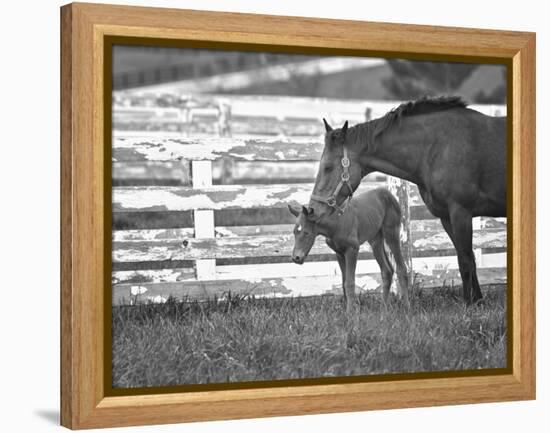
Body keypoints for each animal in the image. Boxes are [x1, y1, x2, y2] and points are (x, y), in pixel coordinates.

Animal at [308, 96, 506, 304]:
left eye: (328, 167)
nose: (312, 209)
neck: (439, 147)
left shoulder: (461, 212)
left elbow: (465, 261)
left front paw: (468, 304)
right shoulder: (447, 217)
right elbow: (468, 258)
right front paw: (477, 301)